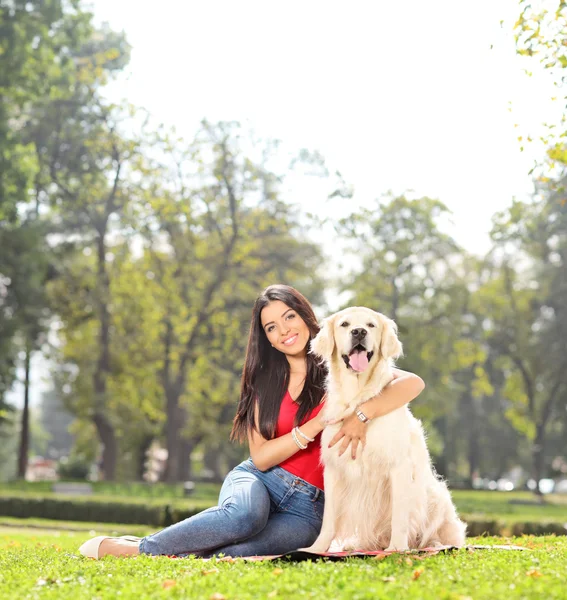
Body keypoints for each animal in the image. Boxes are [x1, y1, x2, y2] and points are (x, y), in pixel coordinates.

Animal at [304, 310, 468, 552]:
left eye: (371, 325)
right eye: (345, 324)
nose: (359, 332)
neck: (357, 399)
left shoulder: (398, 466)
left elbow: (399, 515)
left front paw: (397, 549)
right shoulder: (334, 468)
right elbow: (329, 519)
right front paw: (316, 549)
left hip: (437, 497)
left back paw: (431, 544)